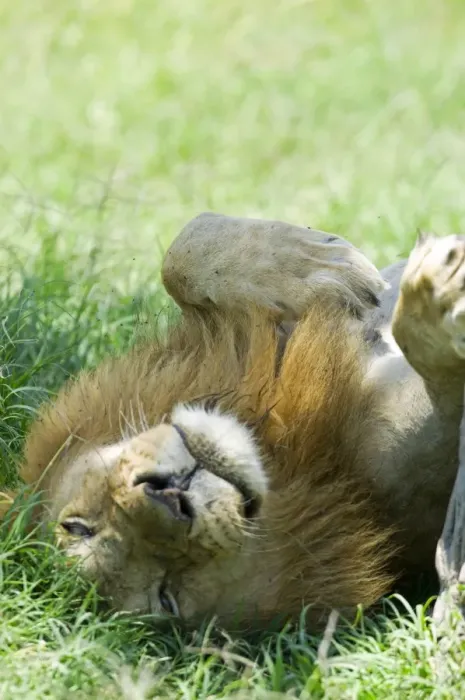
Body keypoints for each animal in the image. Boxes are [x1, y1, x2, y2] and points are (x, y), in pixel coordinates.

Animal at [3, 212, 465, 631]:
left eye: (77, 526)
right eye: (166, 596)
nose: (167, 496)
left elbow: (183, 247)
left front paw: (320, 263)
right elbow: (436, 369)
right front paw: (438, 293)